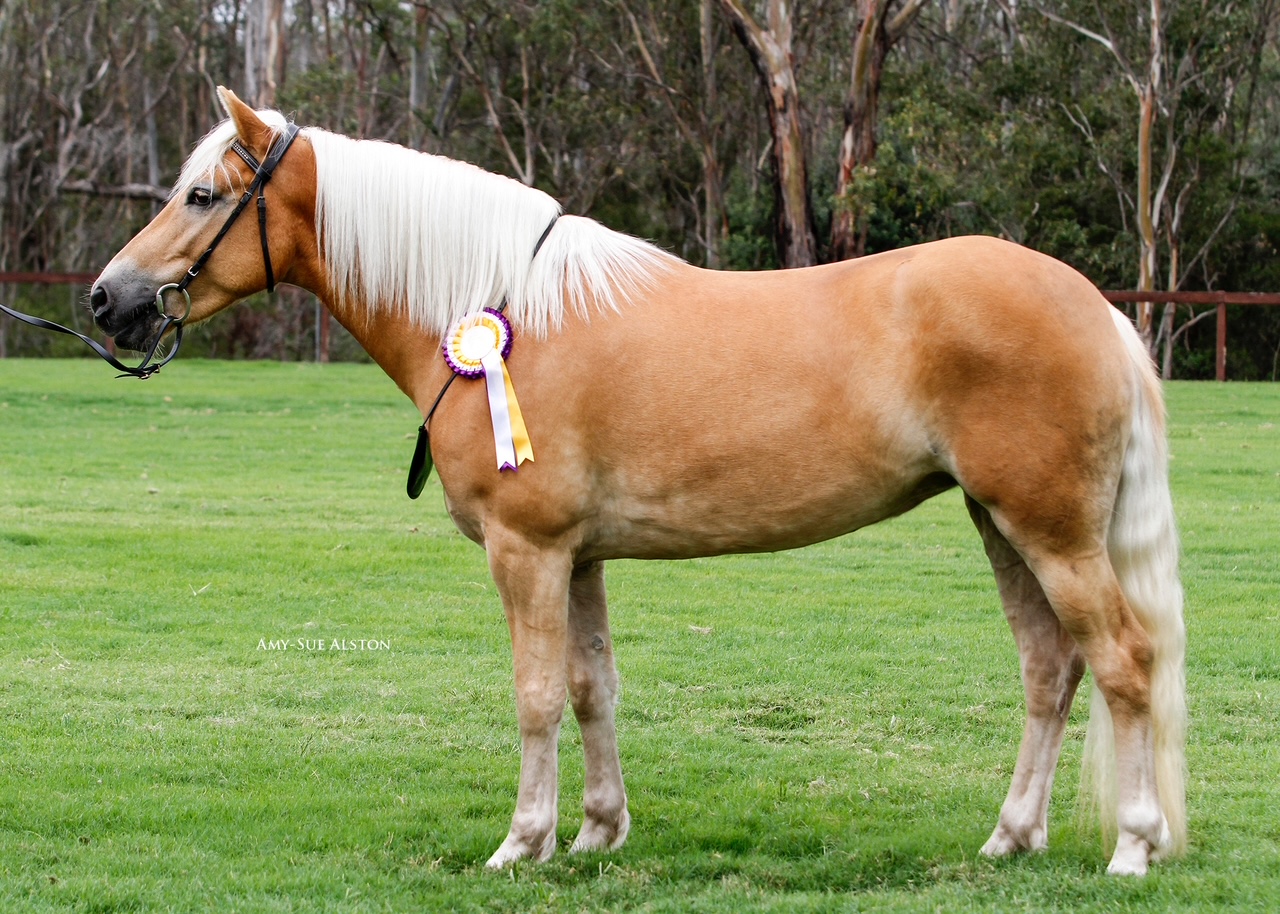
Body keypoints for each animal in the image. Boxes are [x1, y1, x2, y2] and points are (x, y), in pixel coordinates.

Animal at [90, 88, 1186, 876]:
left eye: (201, 196)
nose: (109, 299)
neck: (500, 312)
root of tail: (1096, 307)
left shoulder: (525, 551)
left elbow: (534, 694)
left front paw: (520, 842)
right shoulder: (576, 557)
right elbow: (590, 687)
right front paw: (594, 831)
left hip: (1050, 531)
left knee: (1124, 662)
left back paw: (1133, 845)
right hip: (1003, 524)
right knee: (1049, 670)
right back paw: (1010, 835)